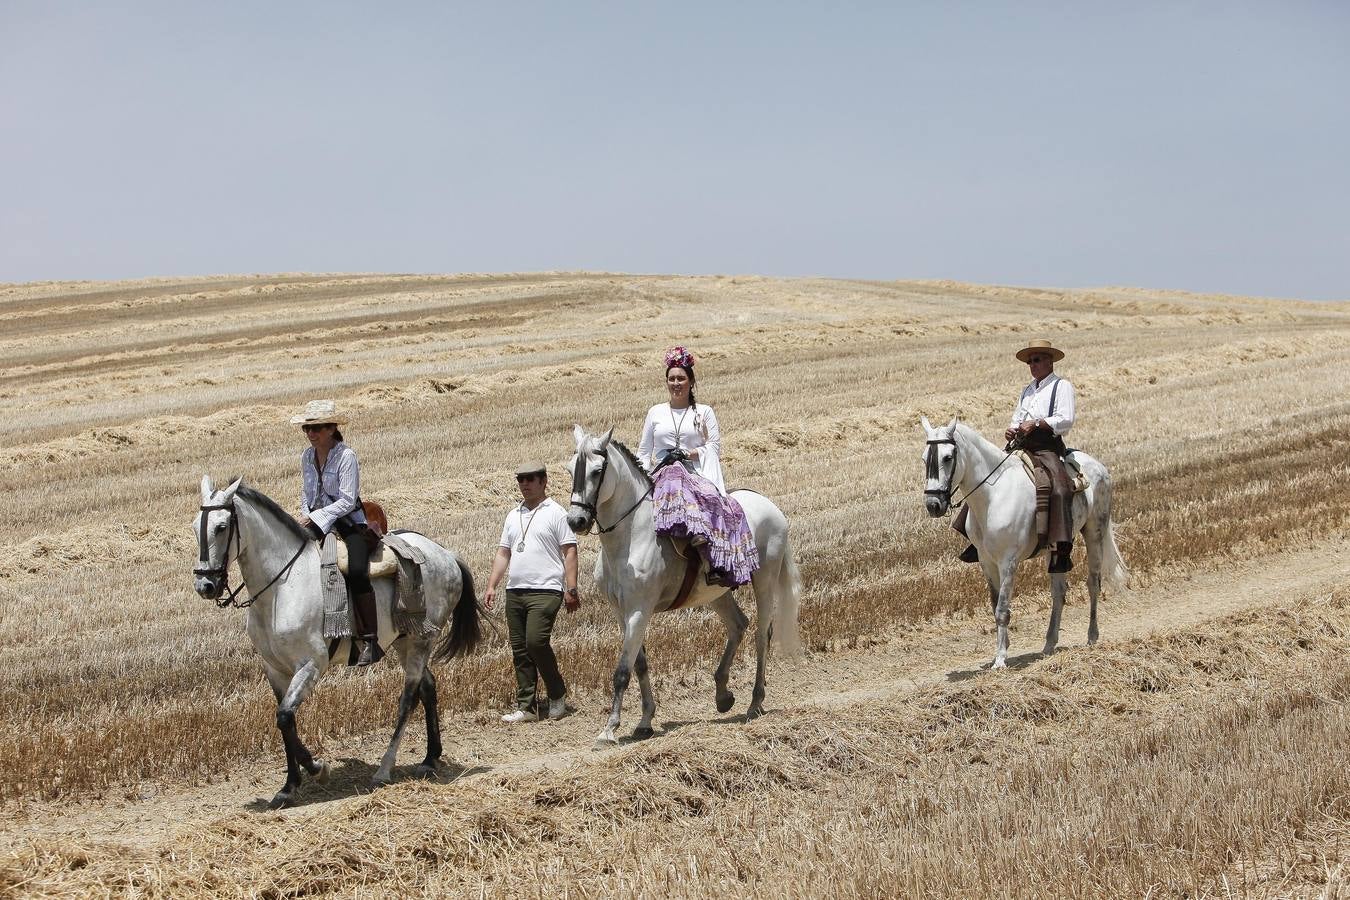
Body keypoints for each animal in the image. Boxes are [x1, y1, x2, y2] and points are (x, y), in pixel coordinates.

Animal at [193, 477, 477, 809]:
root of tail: (446, 554)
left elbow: (285, 717)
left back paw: (384, 769)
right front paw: (288, 787)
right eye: (195, 526)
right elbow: (285, 723)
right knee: (428, 687)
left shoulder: (311, 665)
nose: (205, 585)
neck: (281, 588)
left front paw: (318, 769)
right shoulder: (275, 670)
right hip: (405, 642)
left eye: (222, 526)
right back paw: (430, 758)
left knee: (408, 698)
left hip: (421, 640)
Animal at [561, 426, 793, 750]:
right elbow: (639, 664)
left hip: (765, 581)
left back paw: (755, 703)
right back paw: (723, 695)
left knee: (761, 634)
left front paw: (608, 730)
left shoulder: (639, 610)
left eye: (597, 471)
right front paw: (645, 721)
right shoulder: (622, 612)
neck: (630, 537)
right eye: (571, 470)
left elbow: (622, 671)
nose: (576, 520)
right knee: (738, 625)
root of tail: (769, 505)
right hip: (717, 593)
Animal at [918, 418, 1128, 669]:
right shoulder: (986, 561)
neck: (993, 496)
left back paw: (1092, 637)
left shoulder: (1008, 561)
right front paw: (1001, 651)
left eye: (948, 457)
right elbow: (995, 604)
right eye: (924, 458)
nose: (933, 505)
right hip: (1057, 548)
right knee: (1059, 592)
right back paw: (1049, 644)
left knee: (1093, 583)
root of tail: (1098, 466)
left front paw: (1000, 659)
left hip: (1094, 533)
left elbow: (1002, 608)